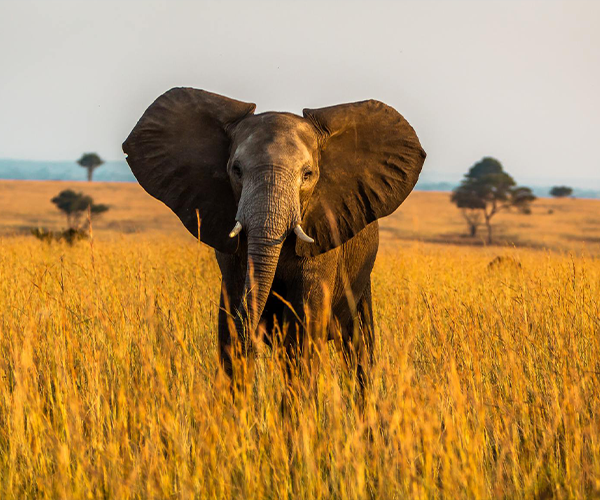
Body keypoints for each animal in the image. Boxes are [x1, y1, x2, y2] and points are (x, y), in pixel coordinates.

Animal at [122, 88, 424, 400]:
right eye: (236, 170)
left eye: (307, 175)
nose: (255, 334)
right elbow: (232, 320)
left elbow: (303, 331)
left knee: (359, 346)